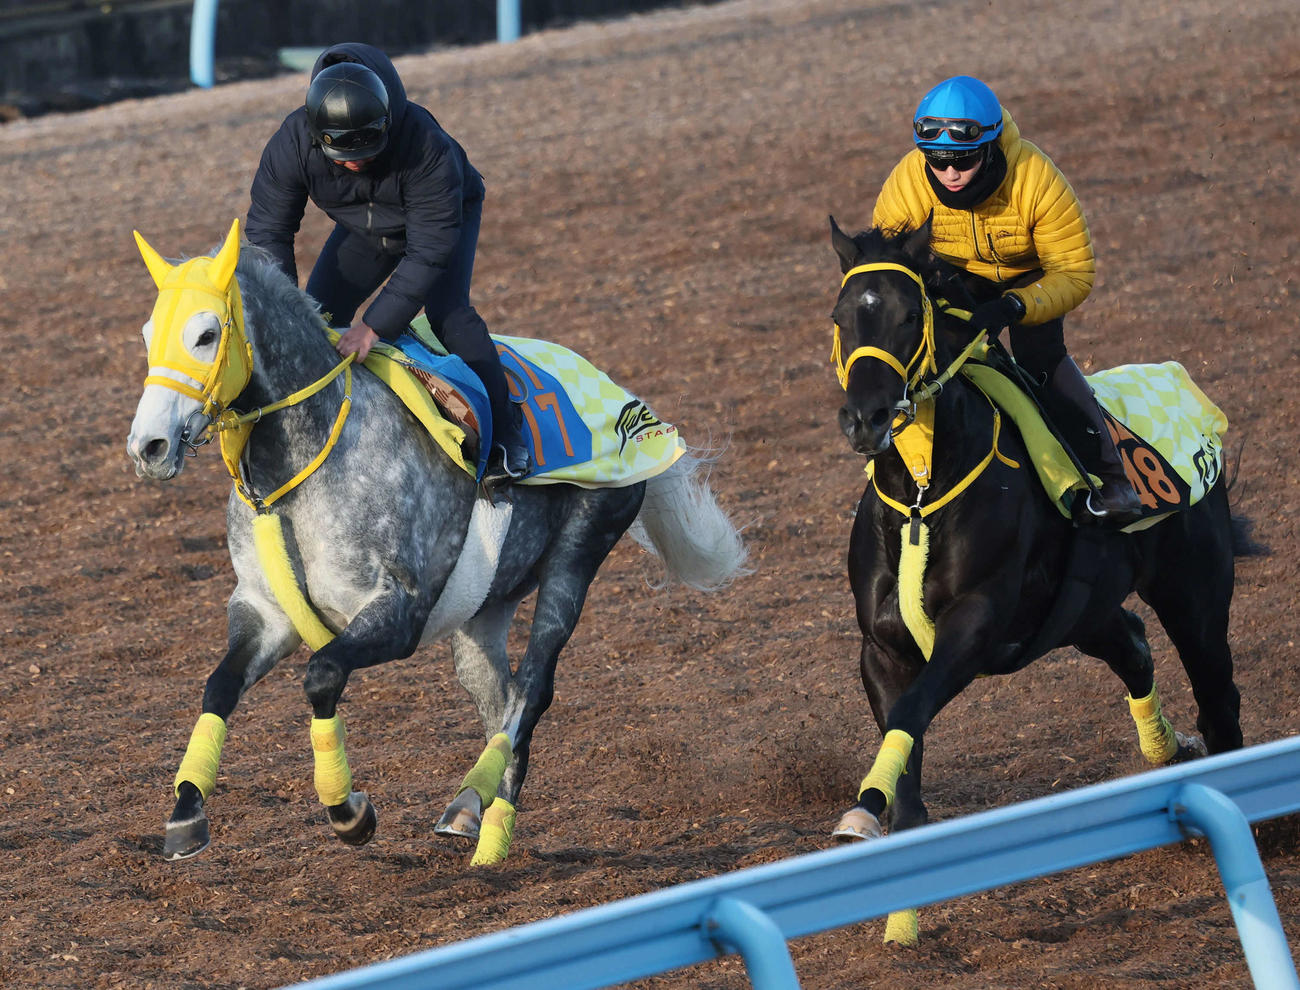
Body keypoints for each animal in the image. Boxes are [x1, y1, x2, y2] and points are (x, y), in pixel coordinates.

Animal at [126, 219, 748, 864]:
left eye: (206, 334)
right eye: (147, 334)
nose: (148, 446)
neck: (306, 463)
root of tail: (636, 409)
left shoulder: (399, 612)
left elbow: (321, 675)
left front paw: (348, 812)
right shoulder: (265, 611)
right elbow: (219, 685)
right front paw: (186, 813)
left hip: (578, 555)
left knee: (532, 688)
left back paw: (482, 814)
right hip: (485, 607)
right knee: (497, 695)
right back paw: (478, 816)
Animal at [825, 216, 1254, 944]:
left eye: (911, 314)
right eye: (841, 315)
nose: (866, 418)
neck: (919, 496)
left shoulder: (974, 625)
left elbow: (911, 714)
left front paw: (860, 814)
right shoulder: (882, 648)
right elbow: (905, 755)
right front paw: (899, 916)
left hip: (1194, 596)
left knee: (1217, 695)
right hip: (1082, 611)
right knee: (1133, 645)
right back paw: (1165, 749)